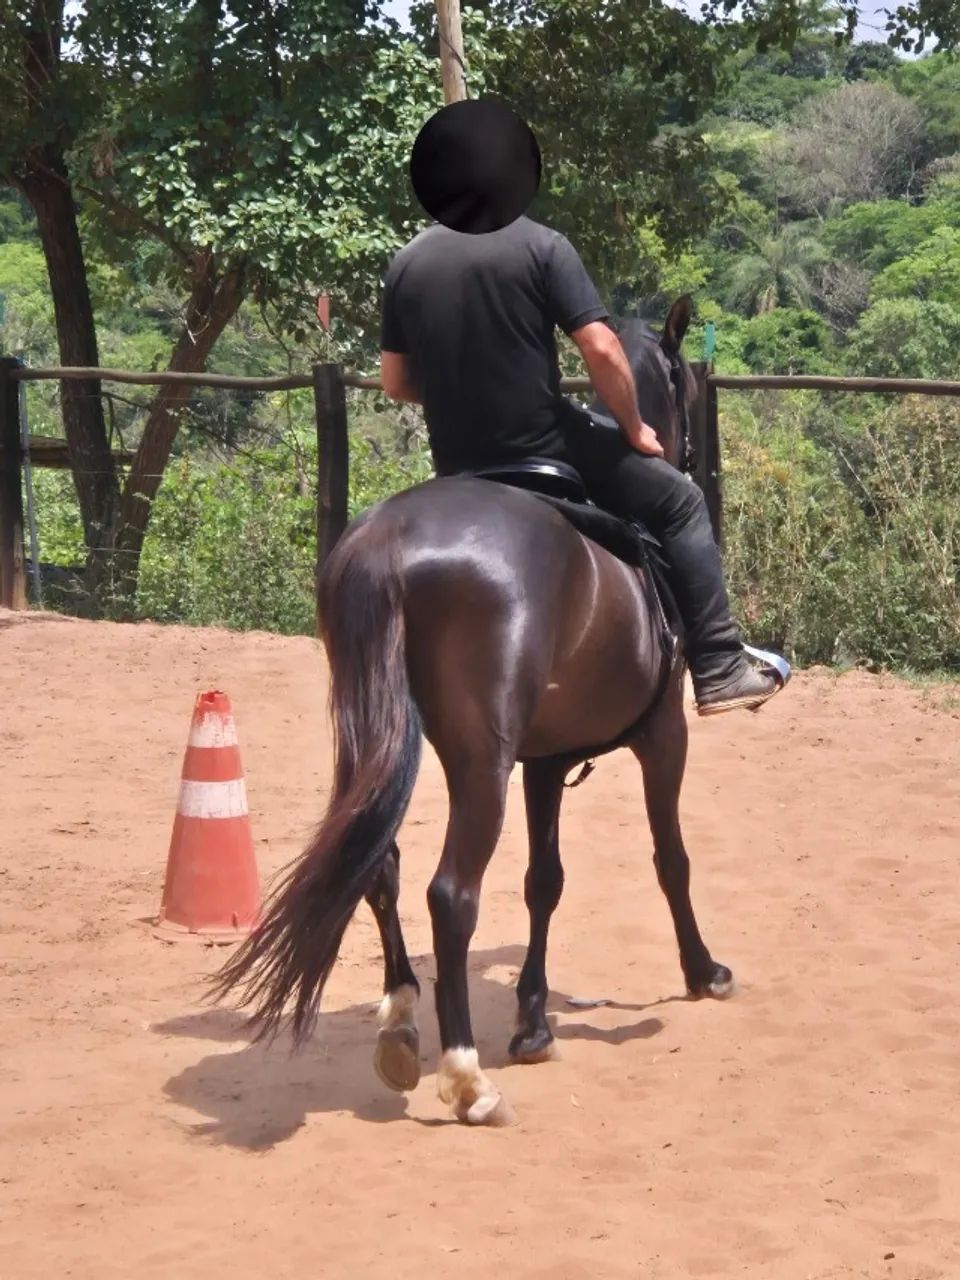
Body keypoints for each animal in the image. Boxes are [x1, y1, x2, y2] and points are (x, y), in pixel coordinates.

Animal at [213, 295, 734, 1126]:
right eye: (683, 387)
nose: (680, 459)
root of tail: (390, 540)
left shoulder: (546, 761)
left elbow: (544, 880)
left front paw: (532, 1020)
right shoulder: (662, 735)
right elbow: (670, 858)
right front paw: (701, 968)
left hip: (374, 740)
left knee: (377, 863)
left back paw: (401, 1023)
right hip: (479, 760)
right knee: (450, 894)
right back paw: (465, 1077)